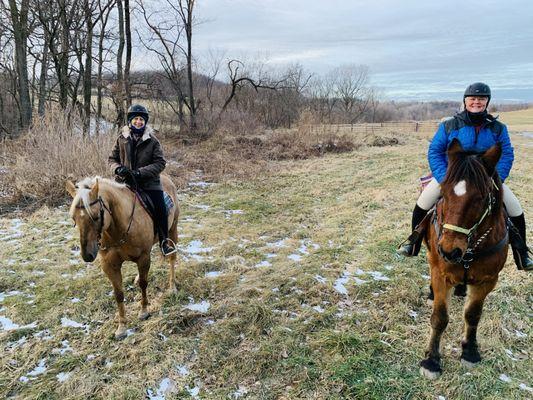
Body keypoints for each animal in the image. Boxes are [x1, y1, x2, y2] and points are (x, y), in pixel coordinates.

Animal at [66, 174, 179, 338]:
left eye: (96, 216)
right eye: (73, 218)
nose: (87, 255)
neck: (119, 229)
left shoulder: (143, 257)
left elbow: (144, 284)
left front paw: (144, 311)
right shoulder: (109, 265)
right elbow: (118, 294)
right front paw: (122, 327)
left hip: (172, 229)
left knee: (172, 258)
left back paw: (172, 287)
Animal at [420, 140, 508, 378]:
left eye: (482, 197)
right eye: (443, 192)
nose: (449, 252)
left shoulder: (487, 280)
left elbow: (473, 315)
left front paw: (470, 352)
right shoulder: (441, 275)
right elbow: (439, 318)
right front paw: (431, 360)